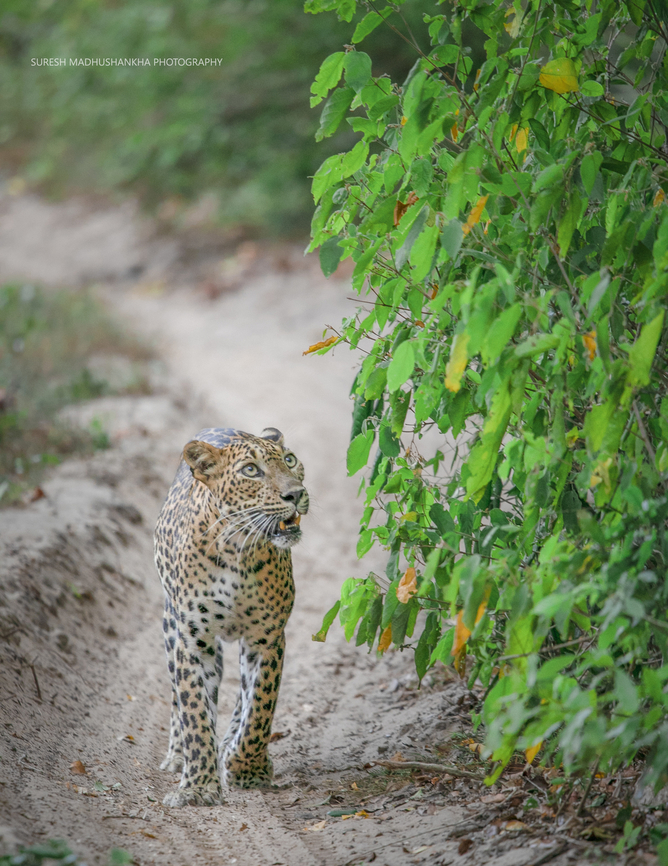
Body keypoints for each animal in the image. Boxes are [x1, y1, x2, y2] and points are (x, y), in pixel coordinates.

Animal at [154, 426, 308, 807]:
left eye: (290, 460)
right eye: (250, 471)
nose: (296, 494)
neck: (238, 549)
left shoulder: (266, 638)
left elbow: (260, 708)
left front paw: (246, 768)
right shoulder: (192, 639)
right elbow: (194, 709)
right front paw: (197, 786)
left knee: (242, 698)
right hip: (171, 625)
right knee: (181, 696)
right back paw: (178, 754)